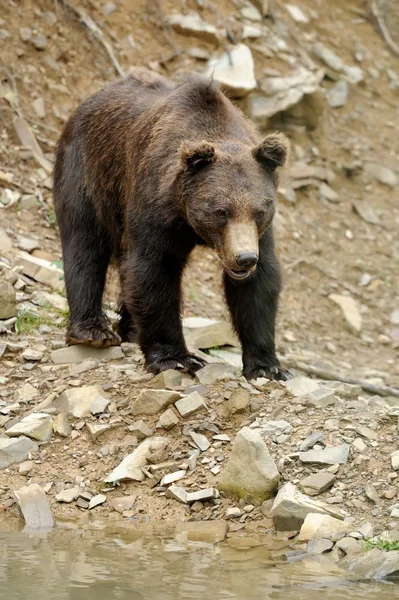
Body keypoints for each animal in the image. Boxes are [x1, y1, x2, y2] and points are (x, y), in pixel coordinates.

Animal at [53, 67, 290, 380]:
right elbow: (153, 270)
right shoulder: (155, 206)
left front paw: (268, 366)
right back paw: (93, 331)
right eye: (221, 211)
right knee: (85, 242)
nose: (244, 258)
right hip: (88, 171)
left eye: (260, 211)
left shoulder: (259, 235)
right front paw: (176, 358)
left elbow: (258, 287)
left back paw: (130, 329)